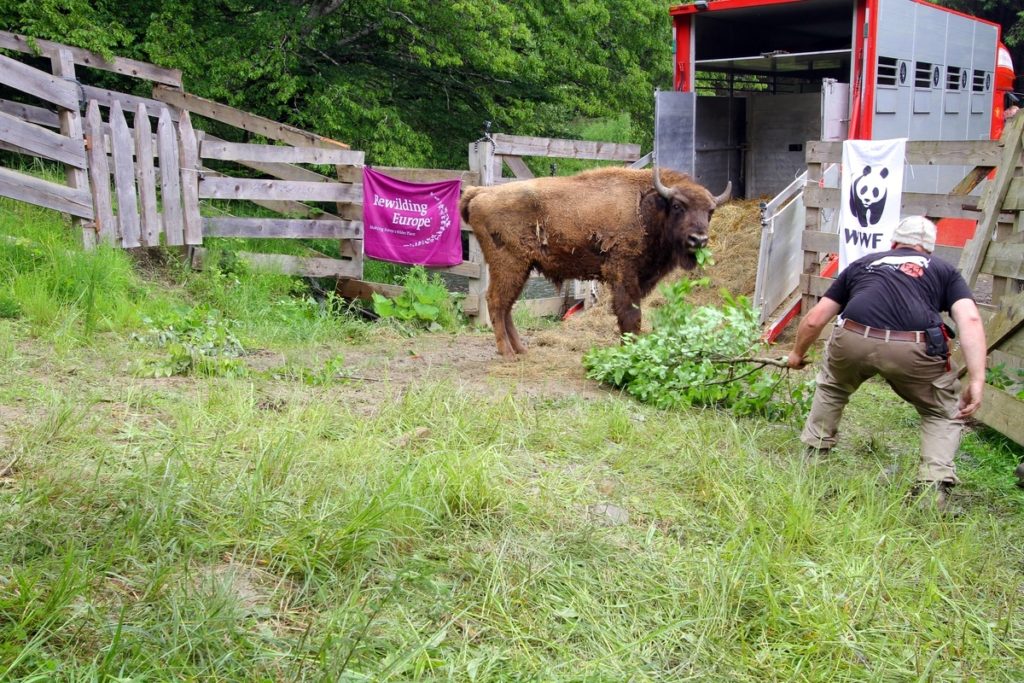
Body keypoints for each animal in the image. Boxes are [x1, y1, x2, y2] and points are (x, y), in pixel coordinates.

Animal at [459, 166, 731, 357]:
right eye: (677, 206)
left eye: (710, 211)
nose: (698, 239)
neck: (649, 206)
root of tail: (481, 192)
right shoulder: (624, 274)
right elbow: (631, 315)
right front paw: (630, 351)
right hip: (509, 266)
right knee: (497, 302)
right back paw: (507, 353)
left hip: (521, 270)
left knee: (506, 306)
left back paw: (521, 349)